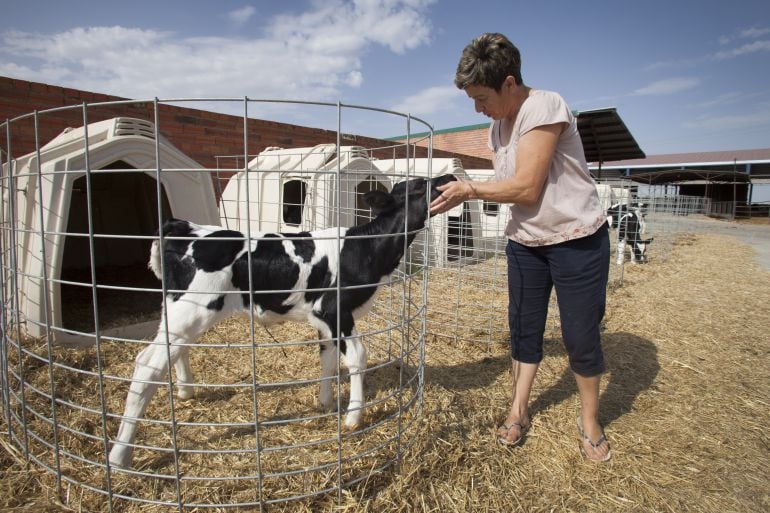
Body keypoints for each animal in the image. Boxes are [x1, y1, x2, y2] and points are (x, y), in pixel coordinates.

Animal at [108, 173, 456, 468]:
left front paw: (326, 403)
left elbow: (327, 359)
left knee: (173, 353)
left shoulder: (322, 319)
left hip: (181, 312)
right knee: (147, 364)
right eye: (420, 185)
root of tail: (181, 225)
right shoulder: (334, 311)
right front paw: (353, 417)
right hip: (192, 309)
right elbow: (357, 357)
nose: (450, 177)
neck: (364, 248)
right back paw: (120, 455)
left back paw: (185, 391)